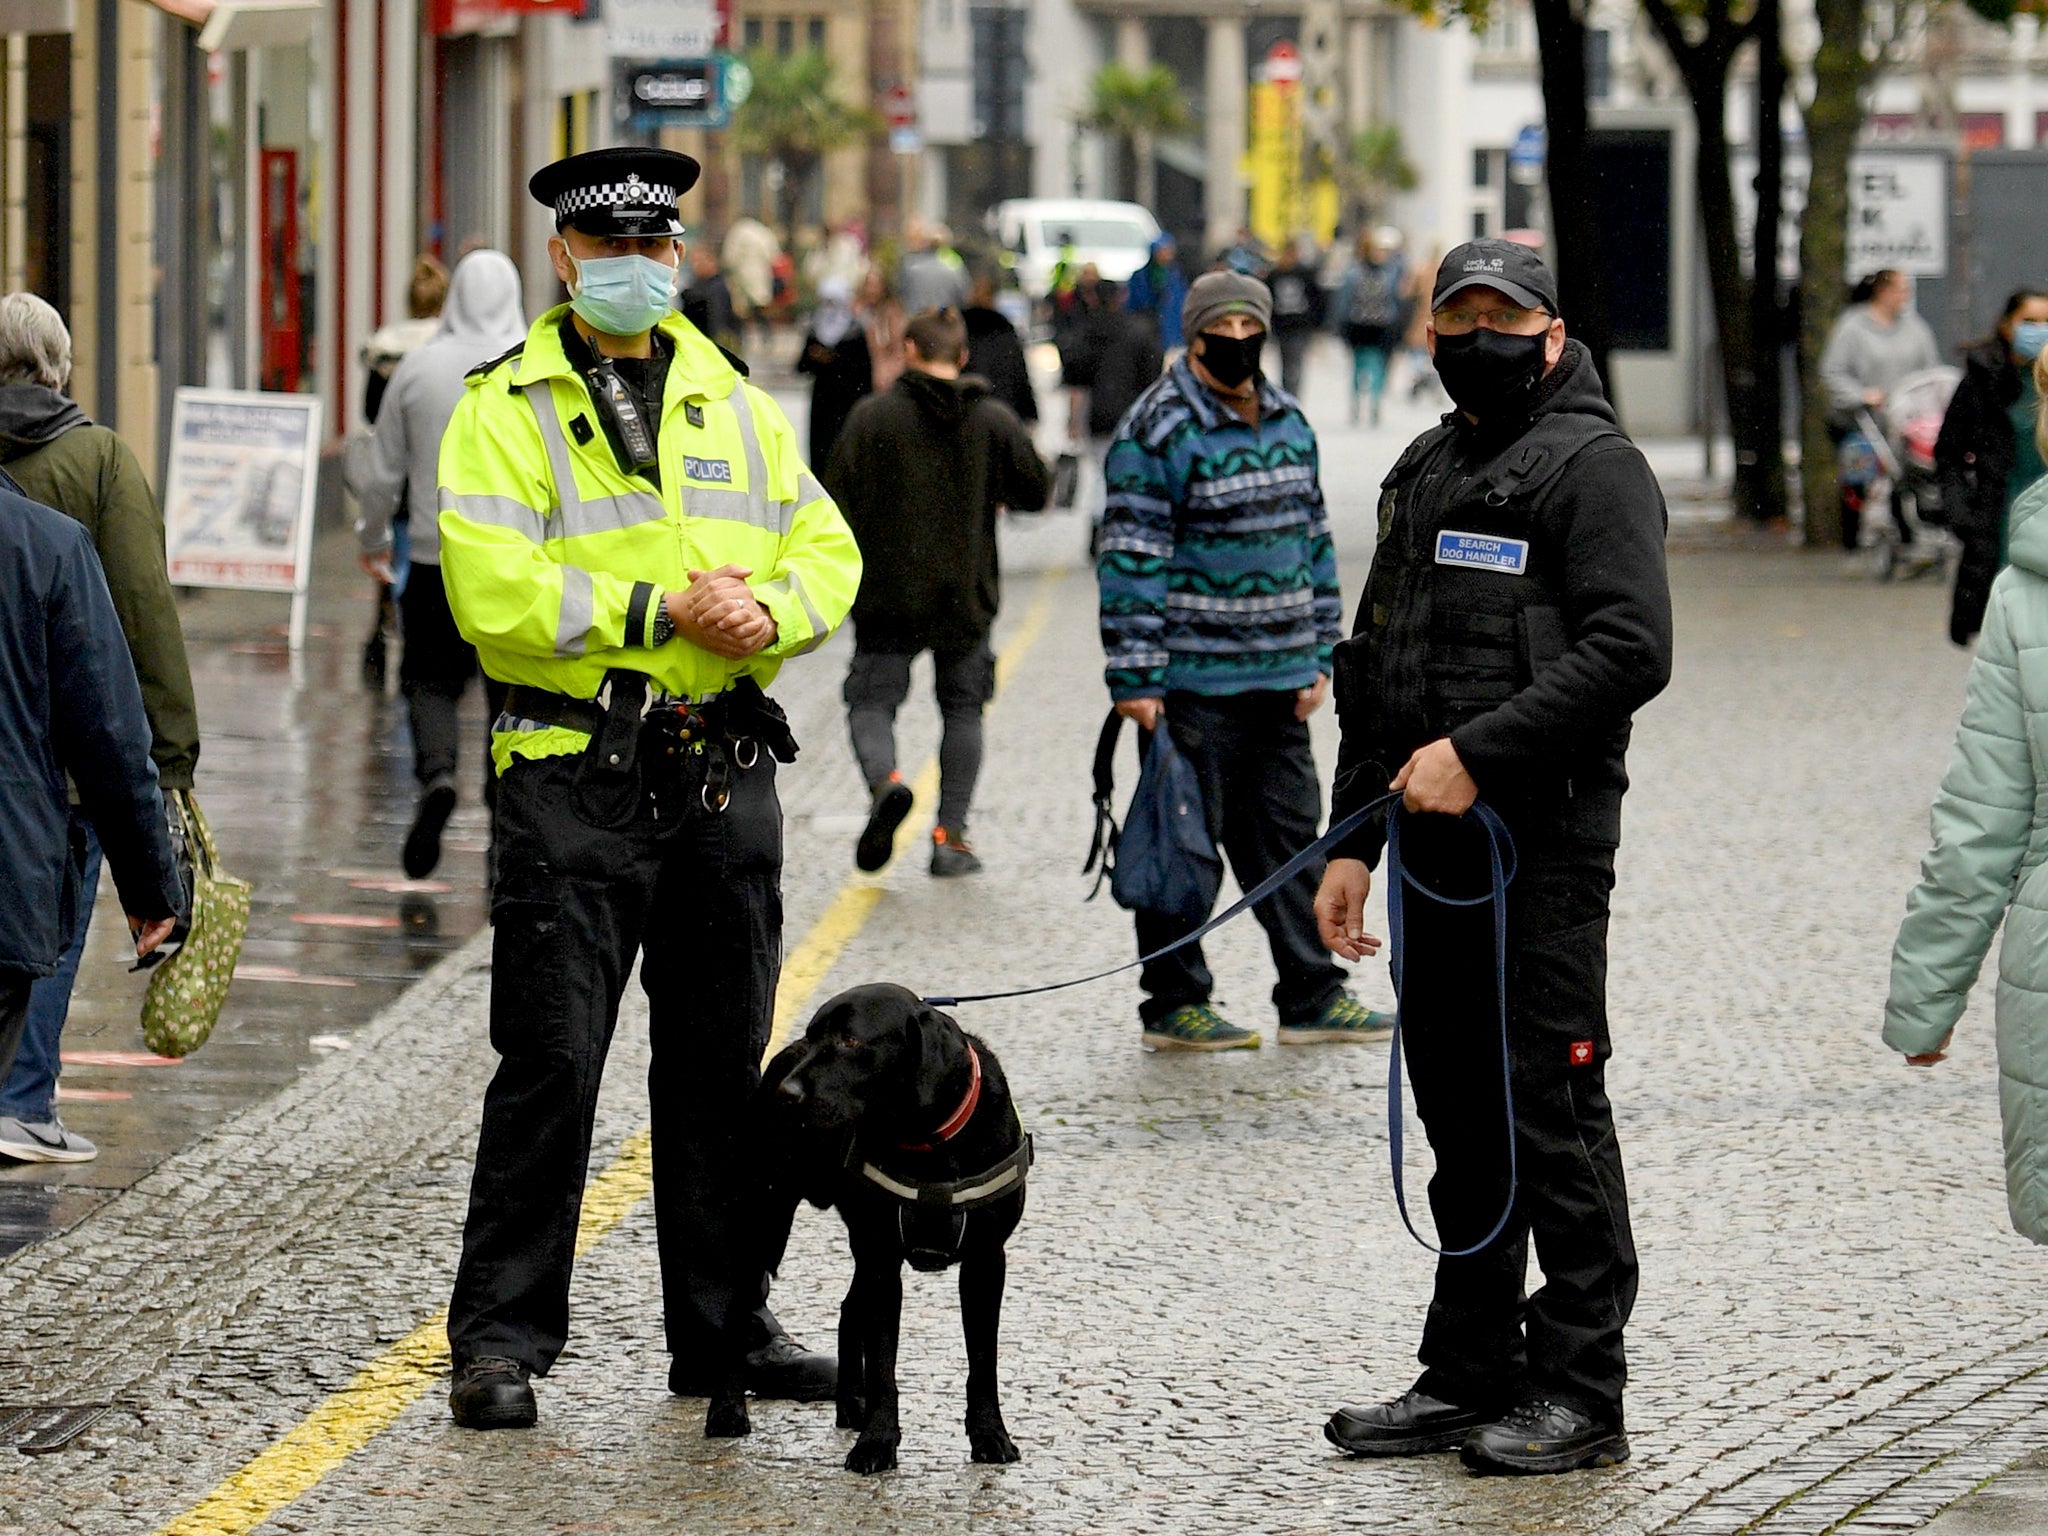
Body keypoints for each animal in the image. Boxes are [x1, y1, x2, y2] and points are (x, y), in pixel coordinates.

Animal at [704, 987, 1032, 1482]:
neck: (929, 1140)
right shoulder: (882, 1265)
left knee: (846, 1310)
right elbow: (883, 1368)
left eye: (851, 1041)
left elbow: (982, 1363)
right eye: (813, 1036)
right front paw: (877, 1442)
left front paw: (990, 1435)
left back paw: (850, 1404)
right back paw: (727, 1410)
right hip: (763, 1220)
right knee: (736, 1314)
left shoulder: (984, 1262)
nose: (786, 1095)